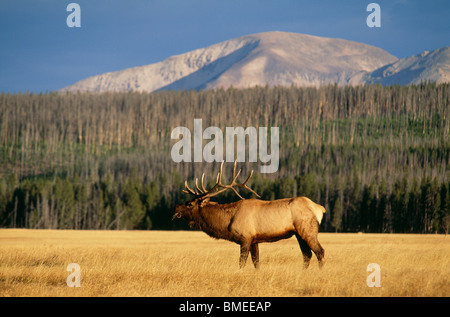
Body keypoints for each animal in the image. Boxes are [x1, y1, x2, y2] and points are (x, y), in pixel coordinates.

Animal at [173, 160, 326, 266]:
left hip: (308, 230)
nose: (175, 208)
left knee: (320, 252)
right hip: (298, 234)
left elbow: (242, 262)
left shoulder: (245, 238)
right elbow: (256, 262)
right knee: (307, 255)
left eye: (189, 204)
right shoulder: (254, 240)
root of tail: (319, 208)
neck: (227, 222)